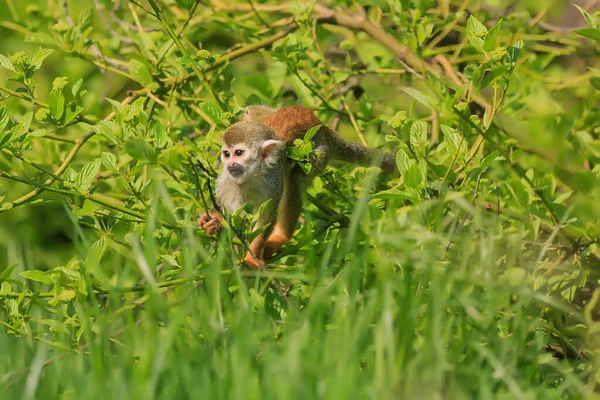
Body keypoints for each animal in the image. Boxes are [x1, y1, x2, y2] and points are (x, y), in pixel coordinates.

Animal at [198, 105, 394, 268]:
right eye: (226, 154)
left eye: (238, 153)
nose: (230, 164)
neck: (252, 175)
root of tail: (322, 125)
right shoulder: (228, 179)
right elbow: (228, 207)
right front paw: (214, 222)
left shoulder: (273, 179)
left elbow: (267, 216)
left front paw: (252, 258)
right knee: (250, 110)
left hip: (320, 153)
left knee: (296, 179)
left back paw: (281, 237)